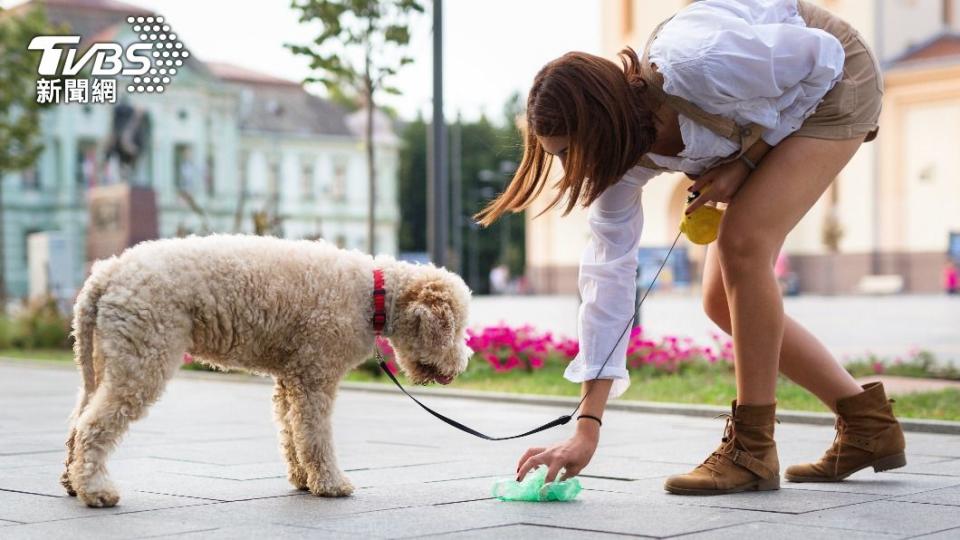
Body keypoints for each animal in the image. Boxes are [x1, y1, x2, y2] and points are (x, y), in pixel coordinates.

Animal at [60, 234, 472, 508]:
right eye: (457, 328)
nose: (462, 364)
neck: (374, 295)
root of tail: (106, 273)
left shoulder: (291, 378)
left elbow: (292, 433)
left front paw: (303, 480)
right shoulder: (315, 376)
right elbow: (315, 436)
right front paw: (331, 484)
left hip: (106, 359)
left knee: (78, 421)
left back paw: (72, 481)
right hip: (143, 357)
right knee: (95, 425)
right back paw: (97, 491)